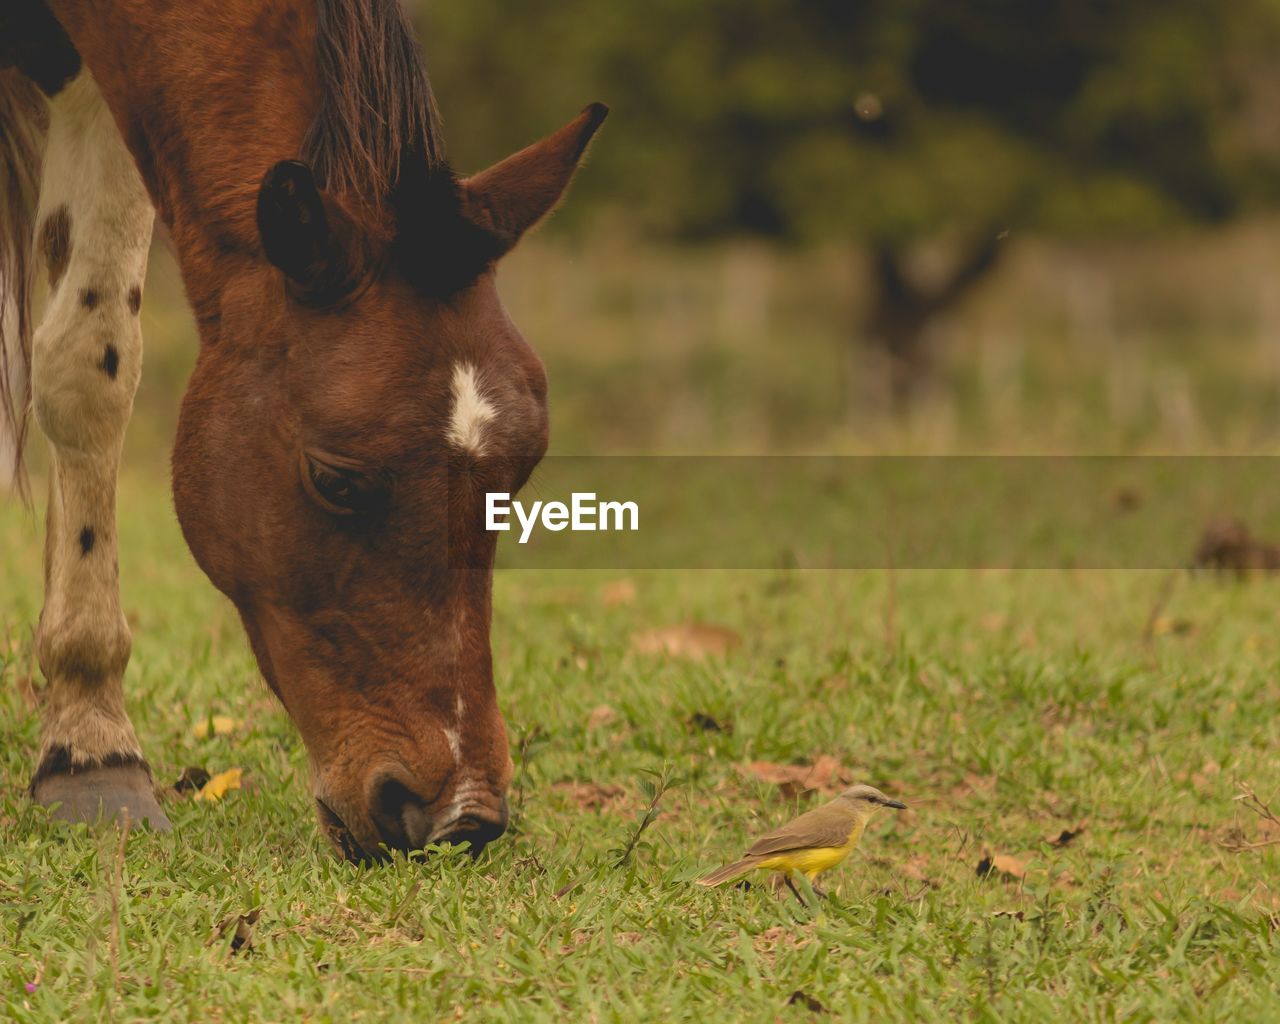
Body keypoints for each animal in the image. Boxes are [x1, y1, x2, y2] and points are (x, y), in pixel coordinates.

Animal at [0, 0, 606, 860]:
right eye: (337, 479)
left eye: (519, 474)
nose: (460, 820)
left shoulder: (94, 74)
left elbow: (93, 362)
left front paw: (88, 739)